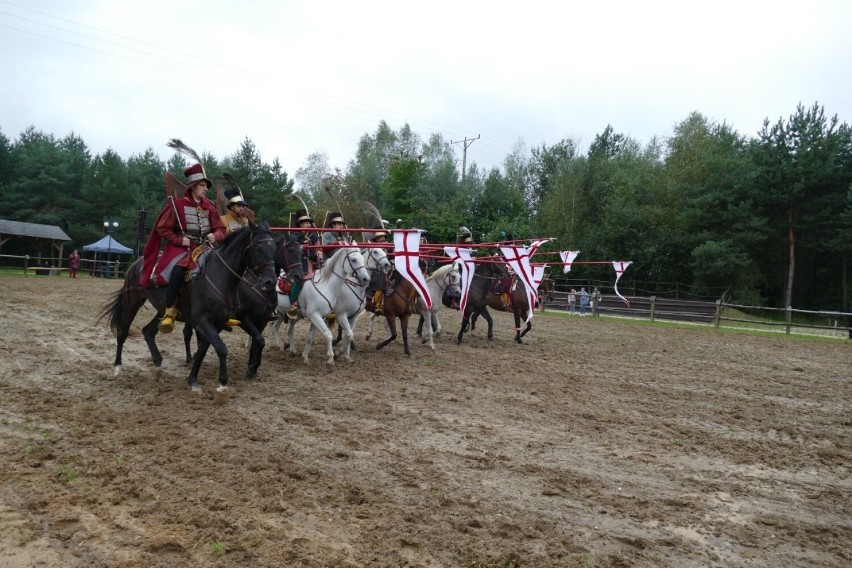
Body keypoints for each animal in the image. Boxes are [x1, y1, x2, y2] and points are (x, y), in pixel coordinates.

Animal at [99, 220, 276, 402]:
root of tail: (138, 263)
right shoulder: (205, 322)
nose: (270, 281)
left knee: (148, 332)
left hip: (161, 310)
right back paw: (118, 367)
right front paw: (222, 386)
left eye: (274, 248)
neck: (220, 276)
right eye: (259, 248)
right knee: (122, 332)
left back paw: (157, 366)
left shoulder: (217, 324)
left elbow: (203, 351)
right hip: (132, 302)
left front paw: (193, 380)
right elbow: (221, 349)